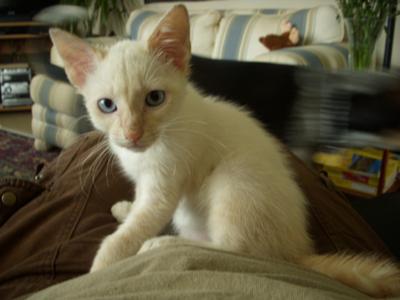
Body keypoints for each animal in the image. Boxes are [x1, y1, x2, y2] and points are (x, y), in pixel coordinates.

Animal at [50, 5, 400, 298]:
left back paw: (162, 244)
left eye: (154, 98)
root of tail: (295, 250)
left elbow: (131, 231)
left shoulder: (168, 179)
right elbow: (140, 209)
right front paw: (126, 208)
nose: (132, 134)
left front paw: (98, 270)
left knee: (236, 250)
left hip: (234, 179)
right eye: (106, 105)